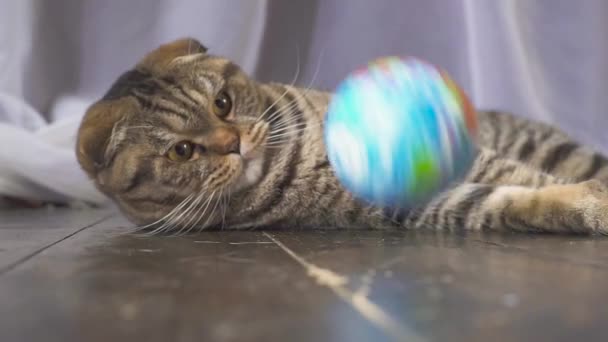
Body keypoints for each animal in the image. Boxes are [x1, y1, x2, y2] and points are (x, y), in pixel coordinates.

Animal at [75, 38, 608, 235]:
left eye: (222, 103)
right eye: (183, 152)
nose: (233, 143)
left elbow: (530, 180)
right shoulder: (423, 202)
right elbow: (521, 198)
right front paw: (592, 205)